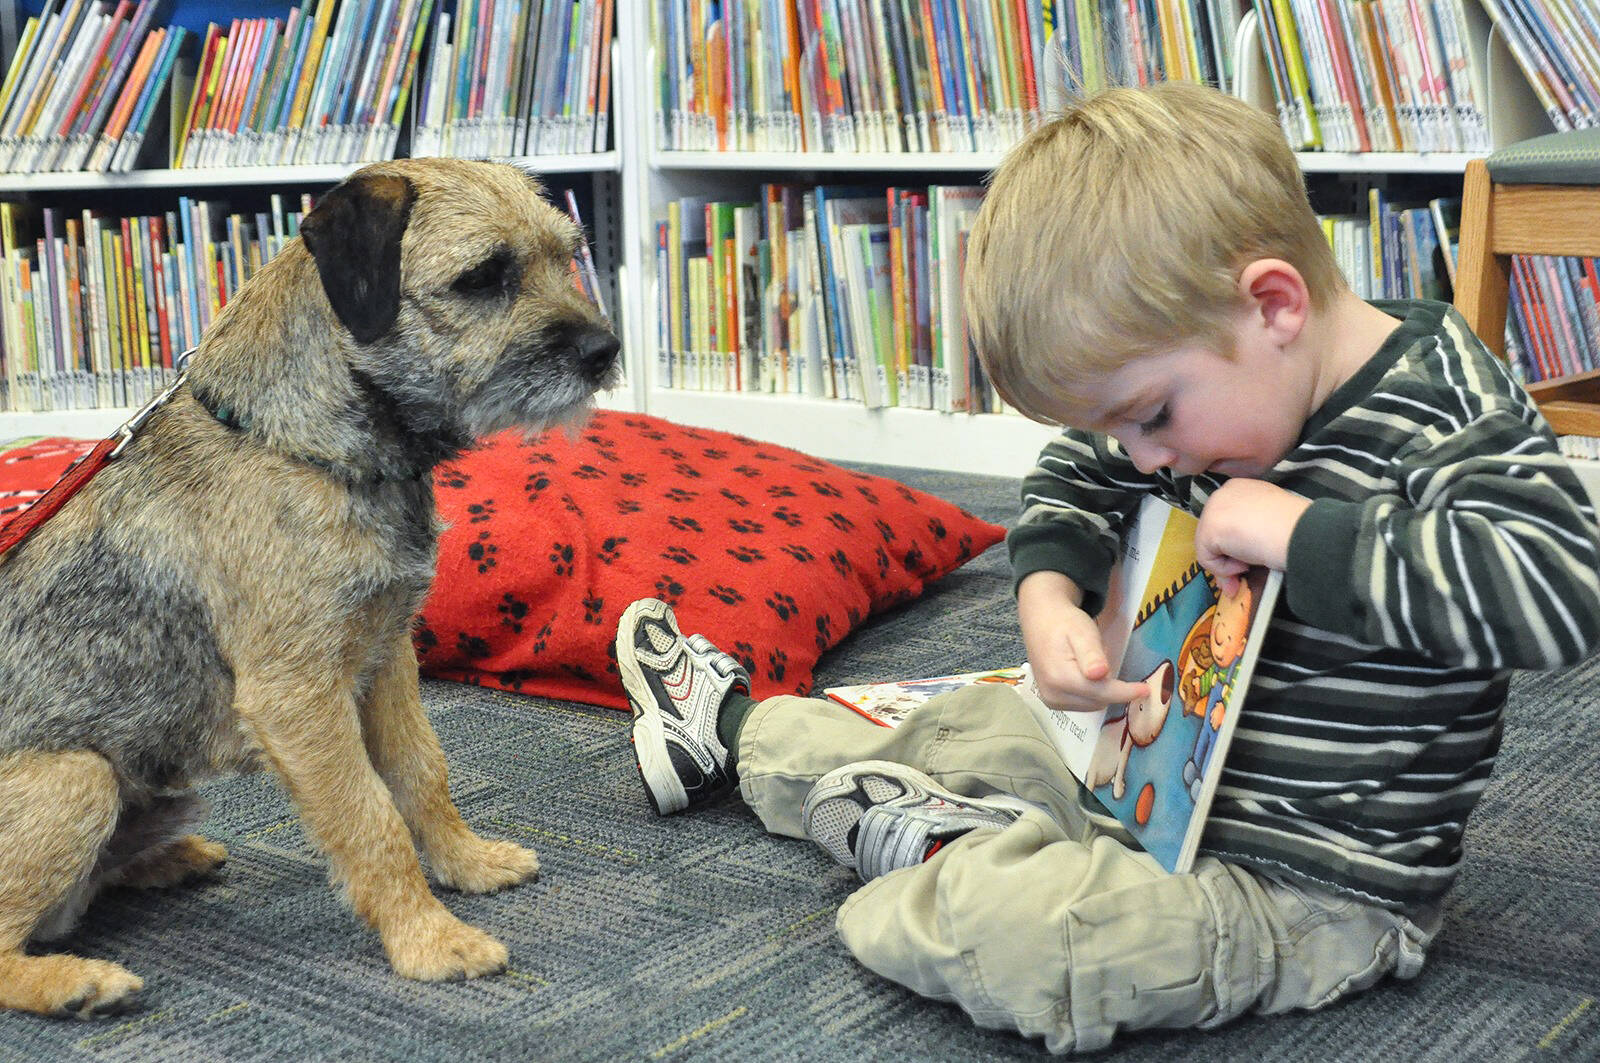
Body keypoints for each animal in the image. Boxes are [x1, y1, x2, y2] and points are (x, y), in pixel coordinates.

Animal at [0, 156, 620, 1011]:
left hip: (159, 788)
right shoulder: (299, 699)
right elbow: (371, 818)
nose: (606, 349)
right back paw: (75, 981)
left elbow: (423, 771)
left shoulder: (386, 658)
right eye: (483, 276)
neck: (298, 444)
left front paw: (466, 862)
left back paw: (167, 861)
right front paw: (430, 940)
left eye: (568, 254)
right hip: (78, 777)